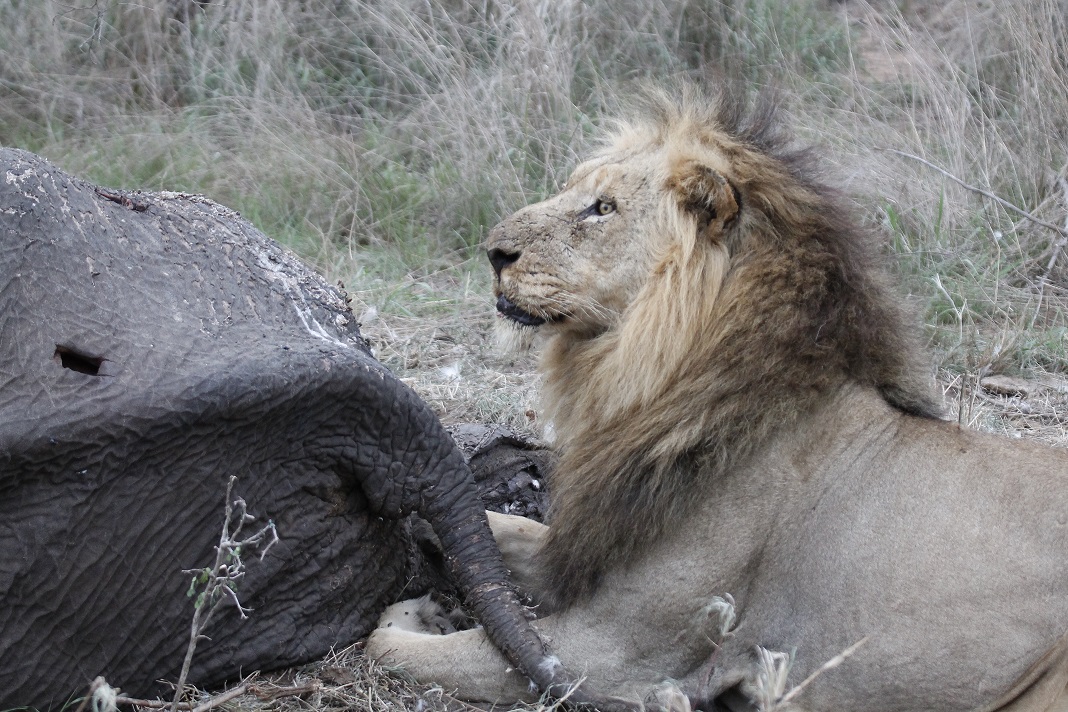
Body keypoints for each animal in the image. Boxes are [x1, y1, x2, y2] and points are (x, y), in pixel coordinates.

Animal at [365, 86, 1068, 708]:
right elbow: (499, 527)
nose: (493, 253)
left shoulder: (613, 651)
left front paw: (410, 619)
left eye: (602, 209)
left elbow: (393, 646)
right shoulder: (587, 546)